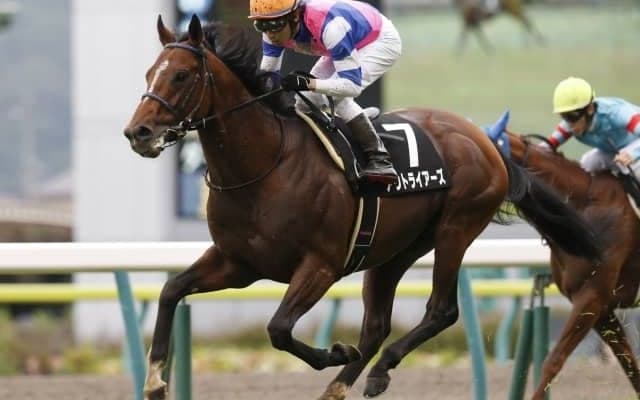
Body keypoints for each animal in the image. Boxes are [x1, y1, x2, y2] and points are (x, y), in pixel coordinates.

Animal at [123, 15, 600, 400]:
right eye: (148, 73)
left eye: (181, 75)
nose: (137, 132)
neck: (266, 164)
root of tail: (483, 139)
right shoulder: (238, 262)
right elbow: (171, 291)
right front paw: (155, 381)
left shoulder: (321, 264)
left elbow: (278, 329)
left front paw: (335, 350)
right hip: (394, 249)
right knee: (376, 326)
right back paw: (343, 385)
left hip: (456, 228)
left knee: (440, 310)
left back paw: (376, 370)